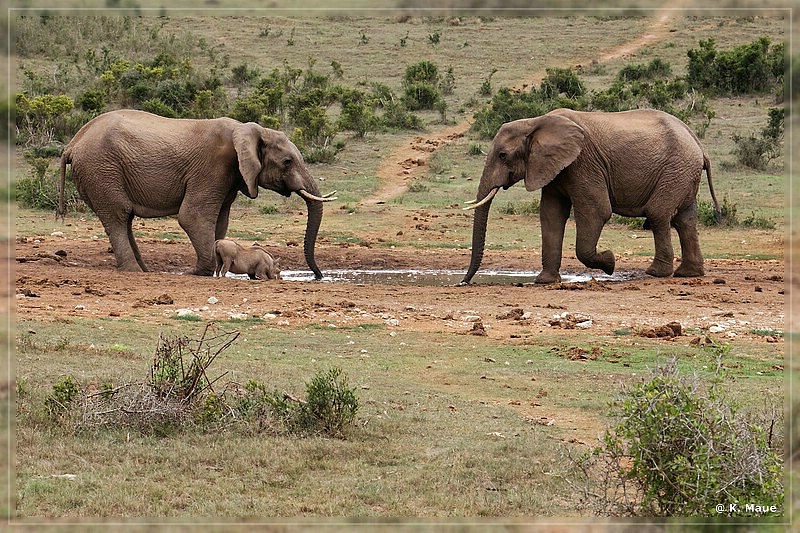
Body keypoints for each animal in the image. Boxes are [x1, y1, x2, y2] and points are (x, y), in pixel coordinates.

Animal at [58, 108, 334, 278]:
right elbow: (193, 216)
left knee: (124, 219)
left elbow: (220, 221)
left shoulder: (229, 176)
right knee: (118, 215)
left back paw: (144, 270)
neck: (247, 130)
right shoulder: (212, 168)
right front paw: (197, 272)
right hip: (101, 169)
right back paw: (134, 271)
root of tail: (72, 144)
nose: (319, 276)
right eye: (287, 162)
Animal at [462, 106, 720, 284]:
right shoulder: (555, 168)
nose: (463, 282)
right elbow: (551, 215)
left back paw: (656, 273)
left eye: (502, 155)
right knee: (685, 219)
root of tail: (697, 143)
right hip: (683, 172)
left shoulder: (583, 163)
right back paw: (688, 274)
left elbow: (596, 211)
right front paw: (545, 281)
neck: (535, 122)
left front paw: (610, 262)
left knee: (658, 214)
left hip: (676, 169)